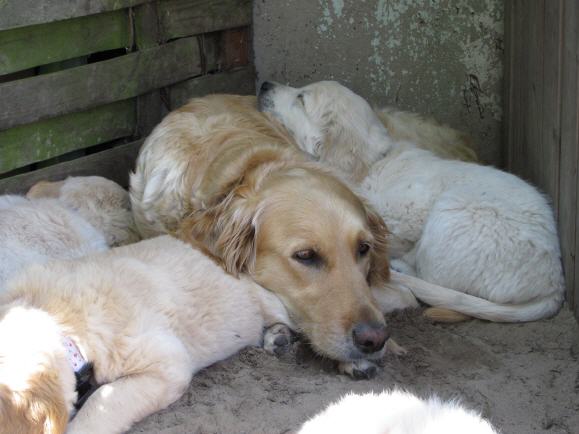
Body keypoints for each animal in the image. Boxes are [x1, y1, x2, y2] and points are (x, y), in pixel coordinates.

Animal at [259, 80, 565, 323]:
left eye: (301, 98)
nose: (264, 84)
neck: (371, 164)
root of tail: (555, 285)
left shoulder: (406, 214)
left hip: (452, 213)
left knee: (436, 278)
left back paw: (401, 267)